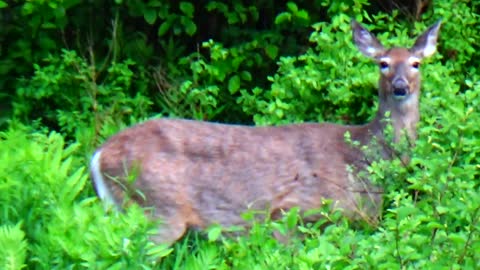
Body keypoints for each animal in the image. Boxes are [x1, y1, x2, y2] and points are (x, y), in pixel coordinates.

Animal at [90, 19, 442, 245]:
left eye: (416, 63)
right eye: (383, 63)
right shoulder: (291, 210)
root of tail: (99, 155)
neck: (362, 159)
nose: (400, 86)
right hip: (157, 210)